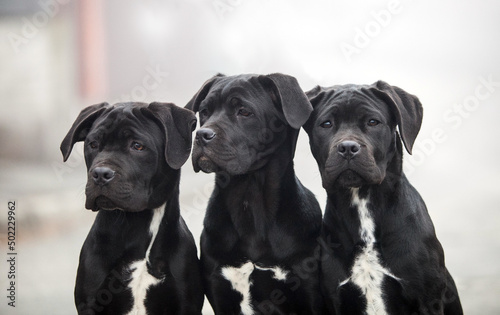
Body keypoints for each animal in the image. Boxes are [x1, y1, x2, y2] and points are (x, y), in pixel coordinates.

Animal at [60, 102, 203, 314]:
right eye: (93, 144)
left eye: (137, 146)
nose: (100, 174)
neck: (137, 227)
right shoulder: (91, 302)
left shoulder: (186, 303)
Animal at [185, 73, 324, 314]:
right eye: (204, 111)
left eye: (244, 111)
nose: (202, 135)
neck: (248, 198)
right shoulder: (220, 289)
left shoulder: (308, 291)